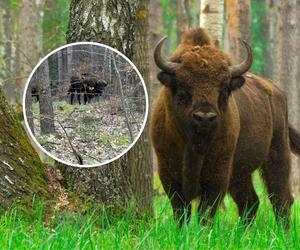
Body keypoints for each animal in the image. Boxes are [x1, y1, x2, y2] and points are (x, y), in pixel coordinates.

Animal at [152, 28, 300, 228]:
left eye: (223, 88)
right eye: (183, 86)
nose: (205, 117)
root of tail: (276, 91)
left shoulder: (218, 173)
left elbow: (206, 210)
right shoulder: (168, 172)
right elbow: (181, 210)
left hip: (277, 153)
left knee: (281, 198)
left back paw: (283, 231)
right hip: (240, 173)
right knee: (250, 201)